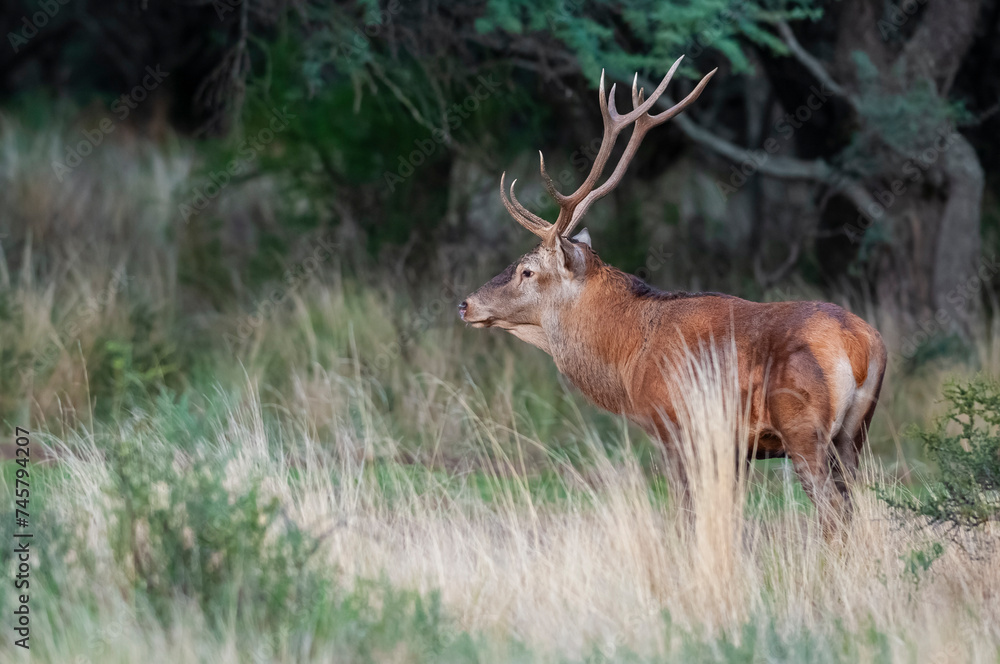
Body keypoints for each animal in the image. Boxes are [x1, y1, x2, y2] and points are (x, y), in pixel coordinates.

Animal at [457, 56, 887, 531]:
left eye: (528, 271)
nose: (465, 304)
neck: (628, 356)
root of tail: (861, 344)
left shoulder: (675, 426)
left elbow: (686, 514)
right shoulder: (734, 448)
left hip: (804, 430)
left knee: (834, 514)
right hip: (855, 433)